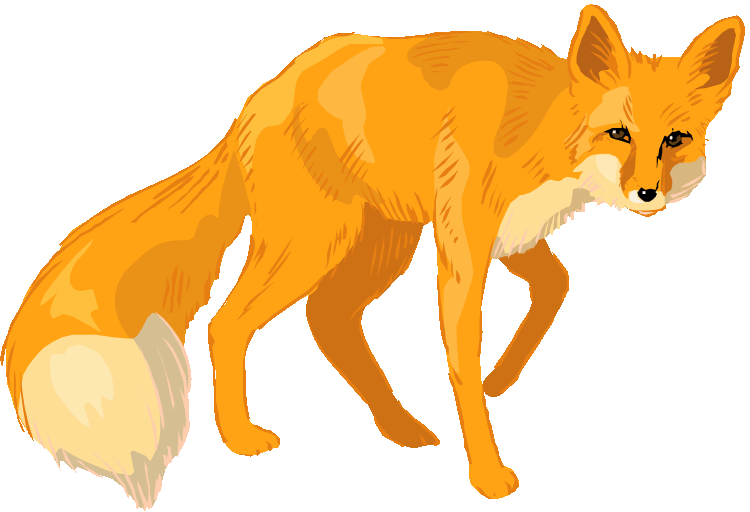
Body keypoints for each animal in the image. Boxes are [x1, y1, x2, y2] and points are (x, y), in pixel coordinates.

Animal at [1, 4, 744, 508]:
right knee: (226, 323)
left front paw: (502, 378)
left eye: (675, 138)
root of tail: (256, 99)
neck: (534, 129)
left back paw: (399, 427)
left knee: (327, 321)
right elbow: (461, 363)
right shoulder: (462, 246)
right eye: (619, 133)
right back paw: (240, 437)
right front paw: (488, 474)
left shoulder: (512, 238)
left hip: (380, 246)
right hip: (312, 245)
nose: (647, 193)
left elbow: (555, 289)